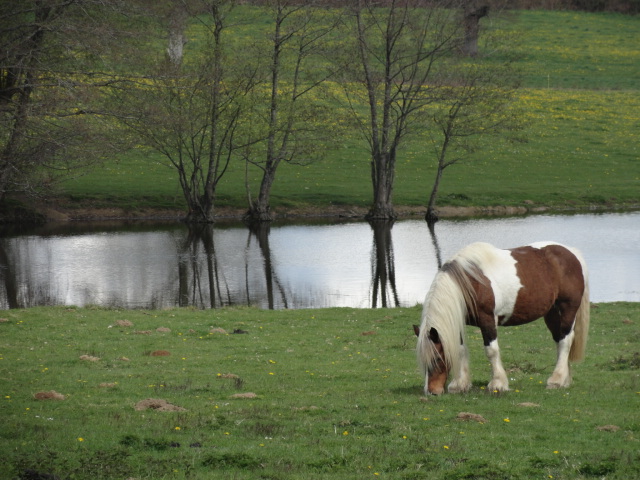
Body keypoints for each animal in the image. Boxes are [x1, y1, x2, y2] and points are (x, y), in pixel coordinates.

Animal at [416, 242, 592, 396]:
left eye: (437, 359)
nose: (432, 391)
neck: (470, 283)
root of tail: (571, 253)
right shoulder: (458, 322)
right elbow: (460, 350)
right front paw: (460, 385)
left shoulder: (487, 319)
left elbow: (491, 351)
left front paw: (498, 384)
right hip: (552, 314)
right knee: (559, 341)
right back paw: (564, 380)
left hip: (567, 309)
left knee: (565, 341)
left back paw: (556, 380)